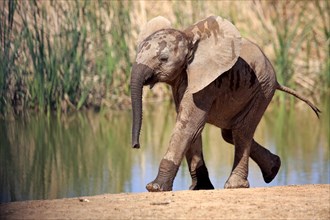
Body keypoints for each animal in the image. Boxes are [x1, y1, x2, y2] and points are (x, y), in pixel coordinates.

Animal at [130, 15, 320, 191]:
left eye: (163, 59)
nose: (136, 146)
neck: (188, 38)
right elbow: (193, 129)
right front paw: (201, 188)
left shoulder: (208, 83)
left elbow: (189, 125)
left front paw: (155, 187)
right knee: (229, 134)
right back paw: (273, 169)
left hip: (263, 90)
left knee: (241, 132)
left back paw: (235, 185)